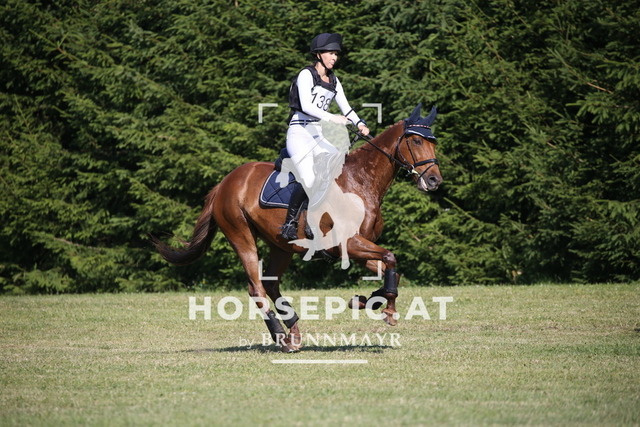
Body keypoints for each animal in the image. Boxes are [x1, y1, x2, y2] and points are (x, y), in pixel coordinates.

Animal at [153, 103, 442, 352]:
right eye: (417, 141)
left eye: (433, 141)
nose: (434, 180)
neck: (359, 181)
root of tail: (224, 183)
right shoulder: (348, 244)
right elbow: (391, 258)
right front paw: (387, 310)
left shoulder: (355, 248)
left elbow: (391, 270)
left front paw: (365, 300)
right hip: (241, 235)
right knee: (256, 288)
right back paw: (282, 337)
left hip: (281, 245)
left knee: (270, 283)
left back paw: (293, 331)